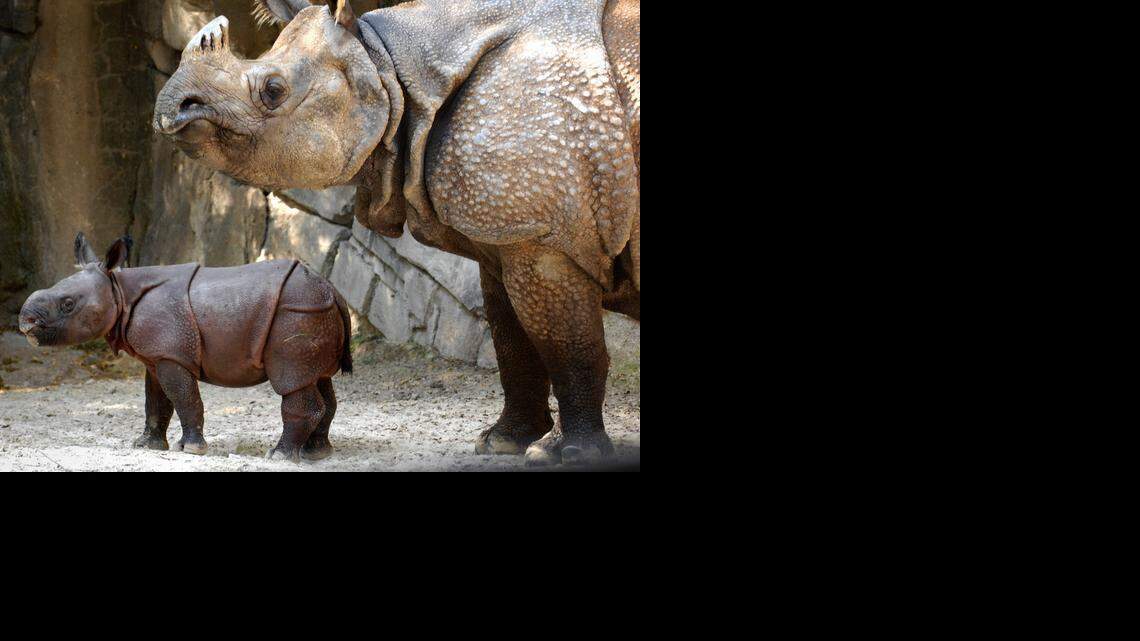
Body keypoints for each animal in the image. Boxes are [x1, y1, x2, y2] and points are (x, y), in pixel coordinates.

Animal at [18, 233, 352, 462]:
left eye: (68, 304)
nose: (25, 321)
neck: (119, 290)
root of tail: (334, 291)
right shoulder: (156, 357)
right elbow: (156, 403)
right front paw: (147, 446)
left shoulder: (172, 354)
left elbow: (184, 398)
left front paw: (191, 449)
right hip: (313, 312)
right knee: (318, 379)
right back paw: (316, 453)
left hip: (296, 312)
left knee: (291, 381)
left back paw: (279, 456)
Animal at [152, 0, 640, 466]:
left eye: (273, 91)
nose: (172, 110)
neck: (389, 65)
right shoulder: (507, 235)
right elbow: (511, 339)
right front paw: (502, 443)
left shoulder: (541, 241)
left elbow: (569, 346)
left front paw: (569, 454)